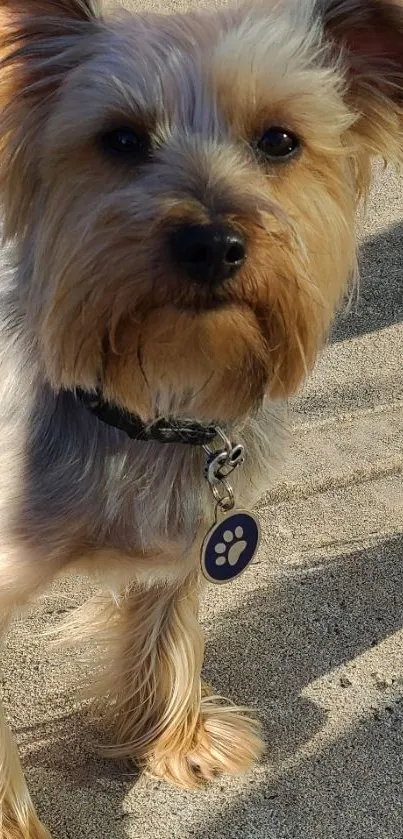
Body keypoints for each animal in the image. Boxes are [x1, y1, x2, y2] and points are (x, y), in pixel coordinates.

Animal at [0, 0, 403, 836]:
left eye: (278, 139)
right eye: (119, 139)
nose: (212, 242)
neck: (151, 400)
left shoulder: (186, 521)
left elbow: (166, 626)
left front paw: (176, 736)